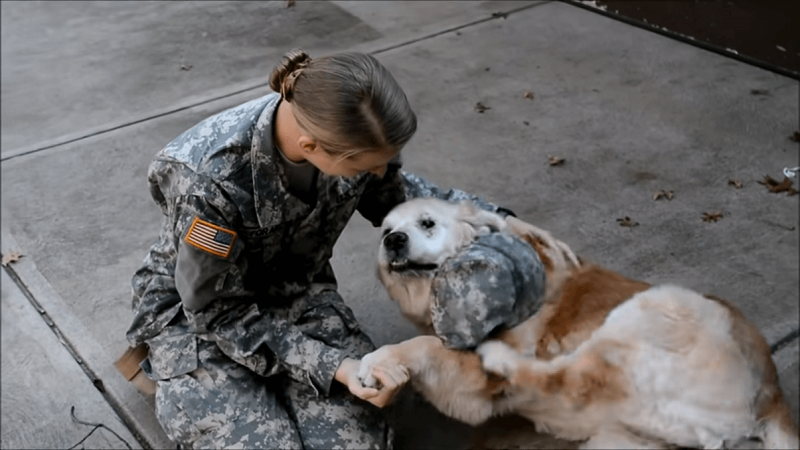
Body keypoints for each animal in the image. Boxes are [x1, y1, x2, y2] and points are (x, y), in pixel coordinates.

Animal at [360, 199, 796, 448]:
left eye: (427, 223)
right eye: (386, 230)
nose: (393, 241)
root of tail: (771, 395)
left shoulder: (474, 384)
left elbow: (421, 346)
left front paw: (375, 363)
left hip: (655, 306)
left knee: (563, 377)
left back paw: (498, 356)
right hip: (622, 439)